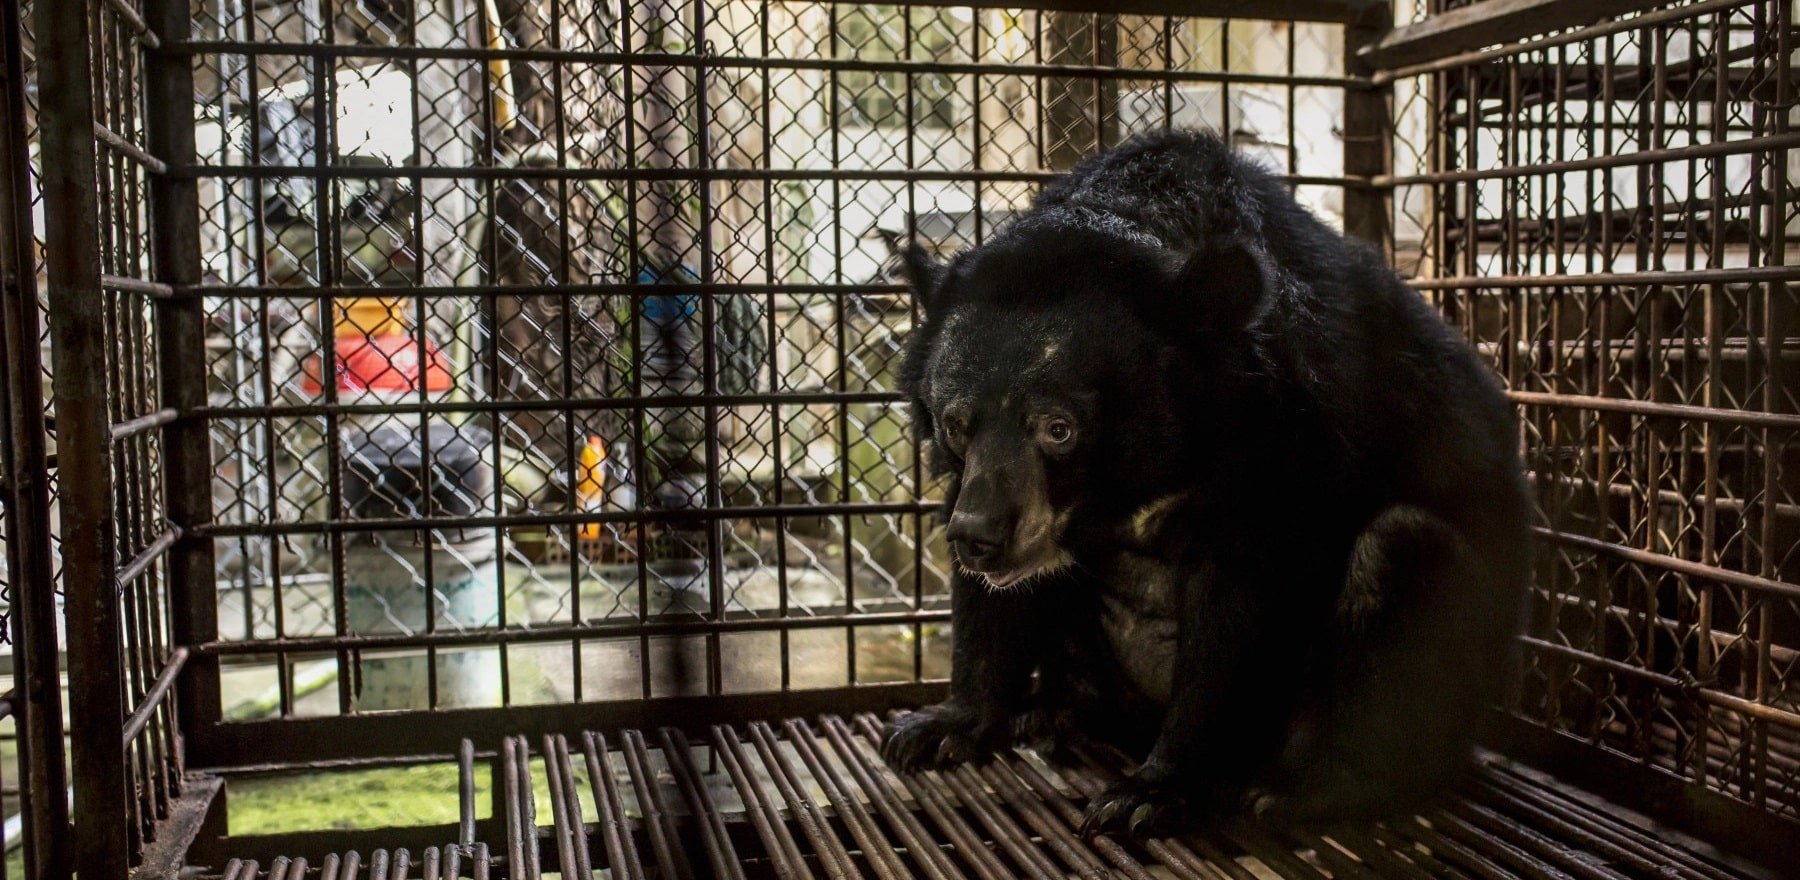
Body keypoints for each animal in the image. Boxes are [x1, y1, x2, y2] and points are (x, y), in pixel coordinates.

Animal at [878, 126, 1526, 835]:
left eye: (1059, 428)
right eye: (956, 424)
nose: (980, 541)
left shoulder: (1286, 437)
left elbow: (1236, 618)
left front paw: (1147, 794)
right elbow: (991, 602)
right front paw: (939, 728)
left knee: (1400, 547)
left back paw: (1304, 791)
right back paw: (1054, 714)